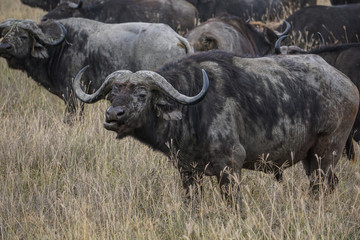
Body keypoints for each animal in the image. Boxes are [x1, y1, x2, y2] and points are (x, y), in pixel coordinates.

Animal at [0, 17, 194, 122]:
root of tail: (176, 37)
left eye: (23, 36)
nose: (4, 46)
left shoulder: (73, 97)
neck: (59, 48)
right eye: (5, 33)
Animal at [72, 50, 358, 202]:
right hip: (311, 158)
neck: (193, 109)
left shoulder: (230, 167)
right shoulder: (188, 172)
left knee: (321, 187)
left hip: (326, 152)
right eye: (113, 94)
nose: (113, 115)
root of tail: (348, 85)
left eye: (142, 94)